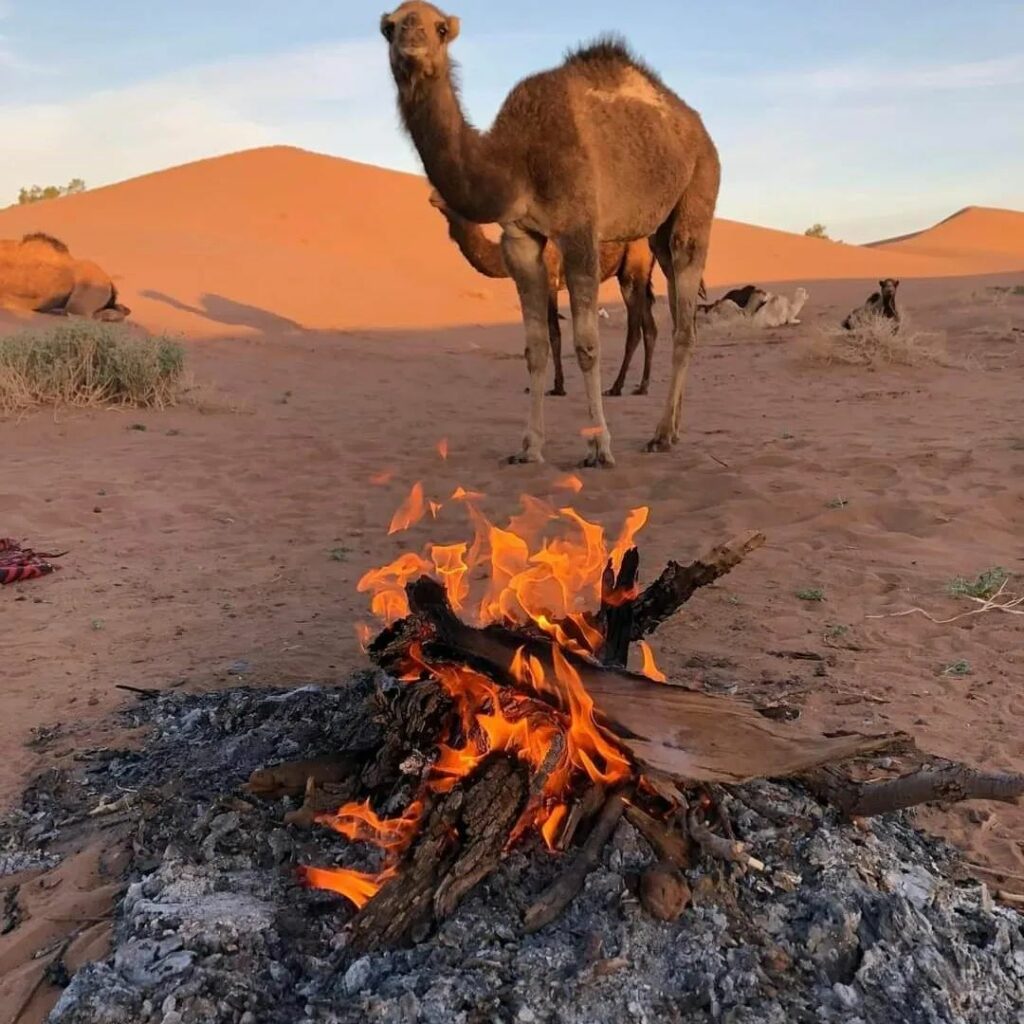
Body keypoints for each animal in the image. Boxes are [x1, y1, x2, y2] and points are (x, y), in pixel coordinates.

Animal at [382, 2, 720, 466]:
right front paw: (528, 446)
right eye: (390, 27)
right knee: (680, 315)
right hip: (656, 235)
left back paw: (661, 434)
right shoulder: (521, 238)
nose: (412, 44)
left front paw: (599, 448)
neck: (515, 160)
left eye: (440, 28)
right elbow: (536, 346)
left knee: (682, 320)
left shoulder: (578, 228)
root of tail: (698, 129)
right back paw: (675, 428)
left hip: (698, 193)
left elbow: (586, 345)